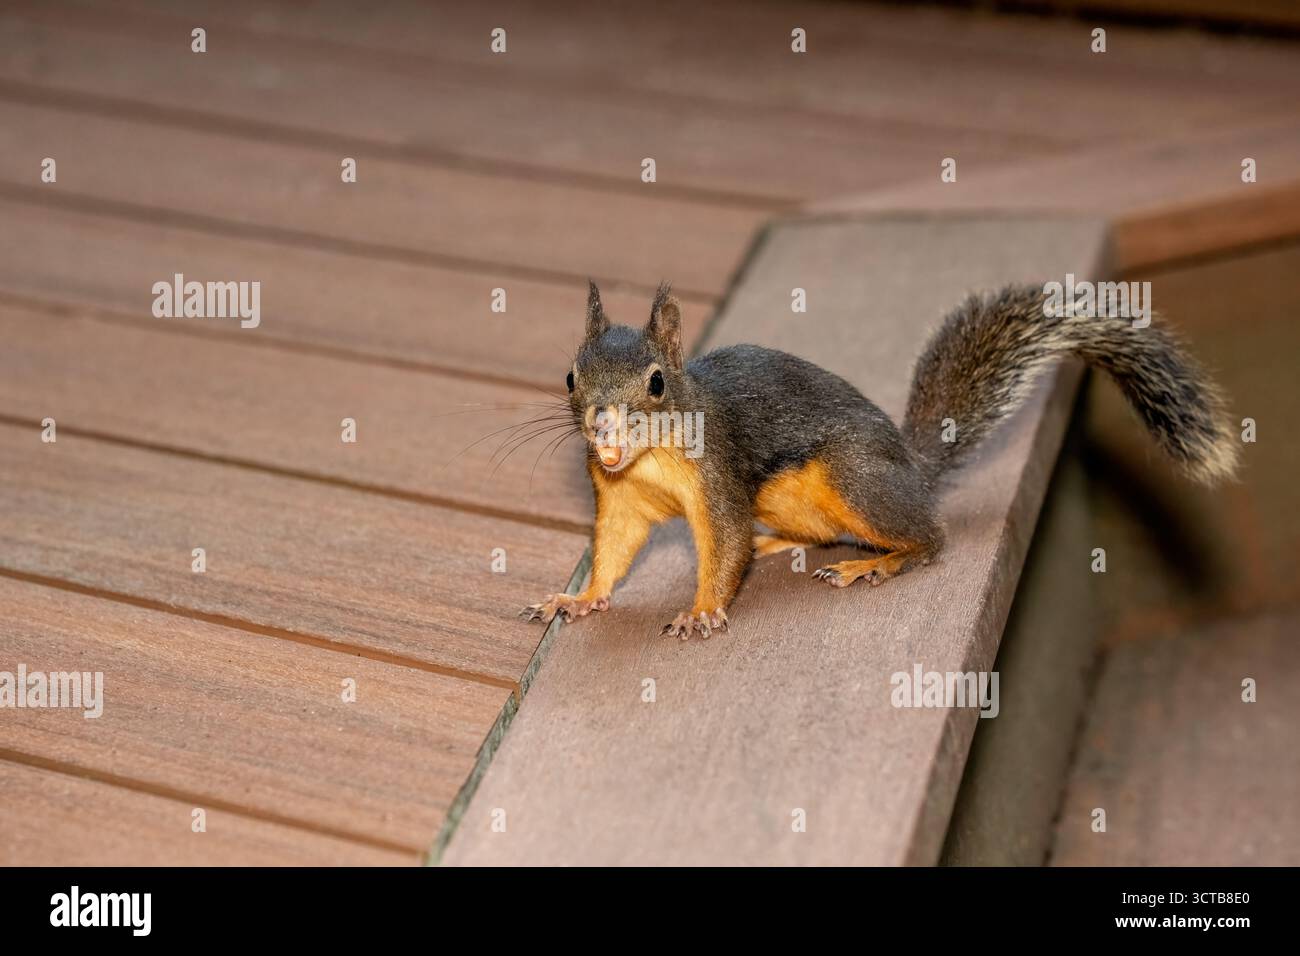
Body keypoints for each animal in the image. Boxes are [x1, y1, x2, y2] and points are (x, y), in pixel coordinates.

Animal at [524, 280, 1238, 640]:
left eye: (655, 383)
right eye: (570, 377)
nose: (602, 424)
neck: (648, 459)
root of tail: (909, 468)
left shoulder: (719, 474)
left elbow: (722, 544)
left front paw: (701, 610)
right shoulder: (619, 495)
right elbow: (615, 549)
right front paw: (576, 599)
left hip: (855, 477)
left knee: (930, 538)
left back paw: (877, 563)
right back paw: (779, 543)